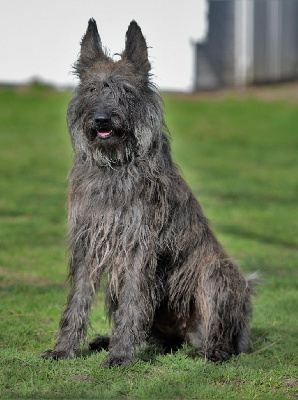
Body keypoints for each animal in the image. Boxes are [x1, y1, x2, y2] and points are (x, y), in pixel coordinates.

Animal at [41, 20, 256, 368]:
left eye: (127, 91)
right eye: (93, 89)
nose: (102, 120)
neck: (115, 166)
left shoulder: (139, 246)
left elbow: (134, 302)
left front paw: (121, 355)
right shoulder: (89, 243)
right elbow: (78, 299)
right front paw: (64, 348)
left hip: (218, 273)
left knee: (220, 334)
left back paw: (213, 351)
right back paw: (108, 340)